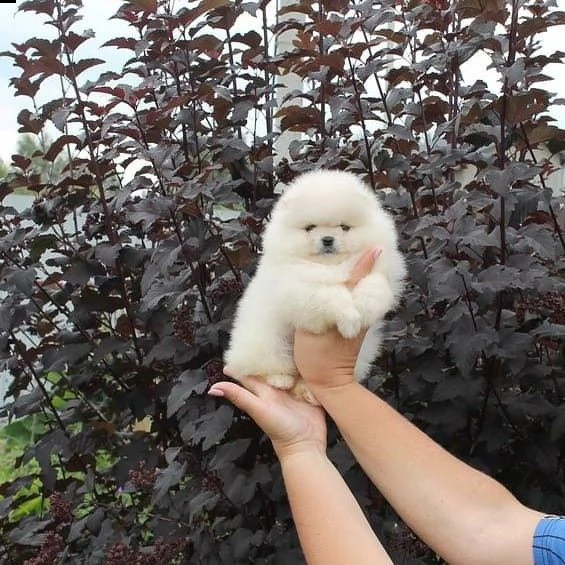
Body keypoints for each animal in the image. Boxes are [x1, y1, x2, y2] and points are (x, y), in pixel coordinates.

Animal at [224, 167, 406, 400]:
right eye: (310, 228)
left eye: (344, 227)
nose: (327, 239)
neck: (331, 267)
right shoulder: (296, 289)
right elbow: (330, 295)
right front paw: (349, 319)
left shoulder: (381, 267)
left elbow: (376, 286)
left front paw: (364, 309)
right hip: (267, 343)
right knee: (266, 367)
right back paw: (281, 380)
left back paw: (307, 391)